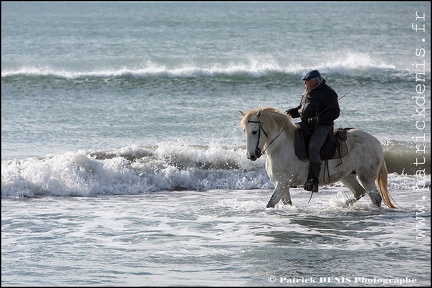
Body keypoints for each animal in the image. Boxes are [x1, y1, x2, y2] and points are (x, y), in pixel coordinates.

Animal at [240, 107, 394, 208]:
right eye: (244, 131)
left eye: (254, 131)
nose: (251, 155)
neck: (281, 146)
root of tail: (376, 142)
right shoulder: (282, 185)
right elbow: (286, 203)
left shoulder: (282, 183)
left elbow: (270, 203)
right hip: (347, 176)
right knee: (359, 192)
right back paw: (342, 205)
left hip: (366, 178)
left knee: (375, 197)